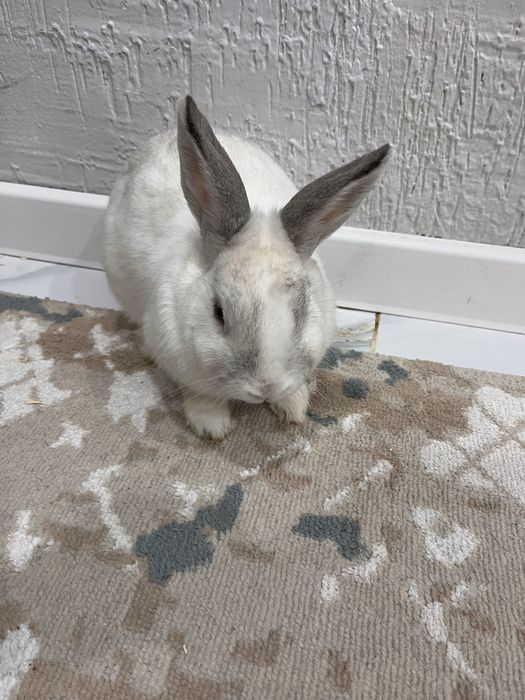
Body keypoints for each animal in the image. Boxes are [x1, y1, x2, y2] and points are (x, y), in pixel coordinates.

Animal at [102, 96, 390, 439]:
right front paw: (212, 426)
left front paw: (293, 407)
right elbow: (201, 394)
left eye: (304, 311)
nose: (266, 387)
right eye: (219, 313)